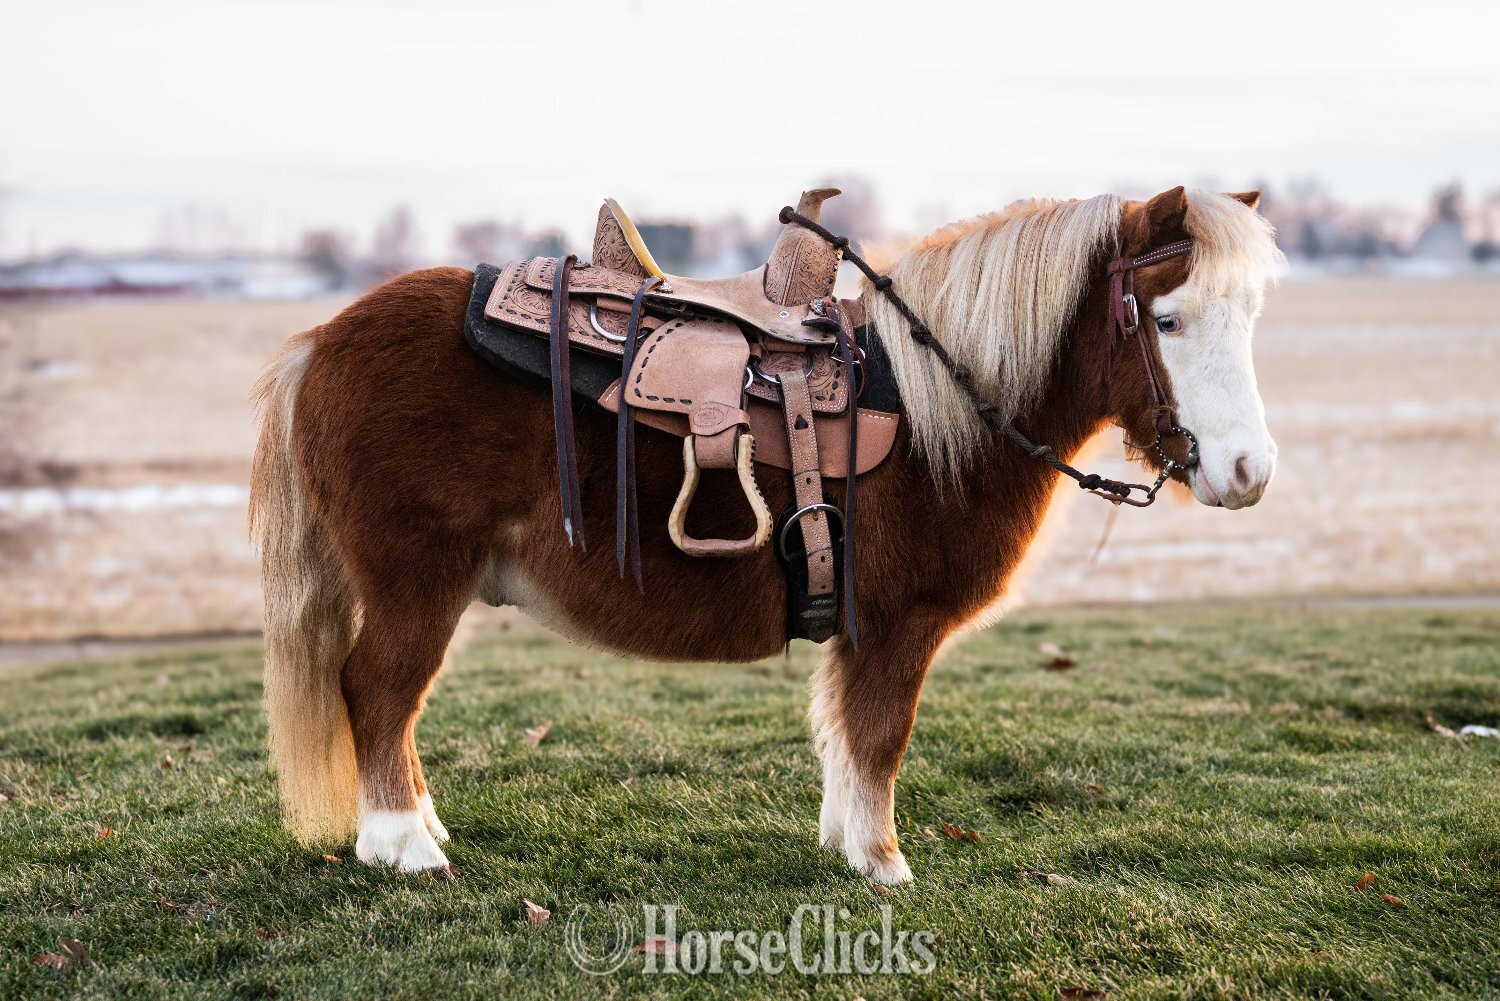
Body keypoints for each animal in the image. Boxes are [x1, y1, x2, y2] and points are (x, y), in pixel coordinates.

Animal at [250, 185, 1282, 884]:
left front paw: (846, 842)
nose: (1248, 472)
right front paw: (883, 862)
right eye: (1168, 319)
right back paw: (402, 844)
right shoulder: (896, 625)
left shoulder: (859, 629)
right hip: (417, 581)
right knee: (377, 690)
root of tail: (320, 342)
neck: (938, 401)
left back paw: (421, 827)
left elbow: (844, 734)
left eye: (1249, 315)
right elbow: (881, 732)